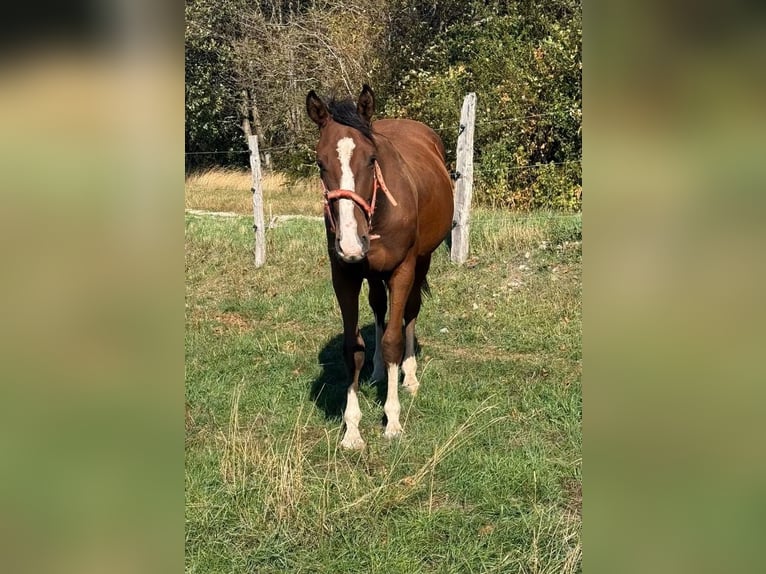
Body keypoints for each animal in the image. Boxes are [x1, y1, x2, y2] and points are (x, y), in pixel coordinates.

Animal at [306, 85, 454, 450]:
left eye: (372, 159)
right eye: (320, 163)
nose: (350, 242)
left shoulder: (403, 269)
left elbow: (392, 342)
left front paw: (393, 421)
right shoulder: (344, 274)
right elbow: (352, 347)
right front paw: (352, 429)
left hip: (422, 261)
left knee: (410, 312)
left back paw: (409, 376)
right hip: (371, 273)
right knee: (378, 308)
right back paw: (376, 371)